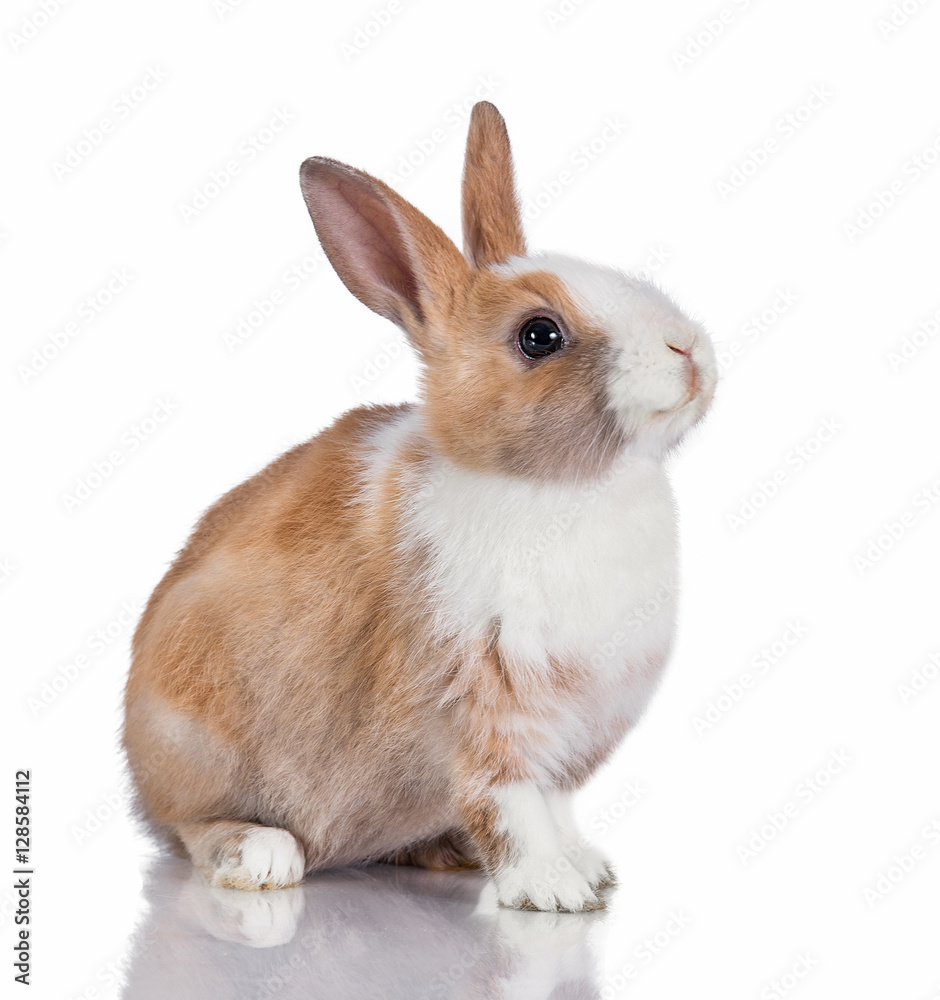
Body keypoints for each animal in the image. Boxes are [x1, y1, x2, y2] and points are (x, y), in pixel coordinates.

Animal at [122, 101, 717, 913]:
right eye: (539, 335)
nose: (688, 350)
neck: (561, 490)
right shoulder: (481, 713)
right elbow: (510, 804)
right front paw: (553, 890)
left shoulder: (569, 734)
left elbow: (554, 806)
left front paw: (588, 872)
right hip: (194, 742)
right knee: (190, 827)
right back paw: (261, 855)